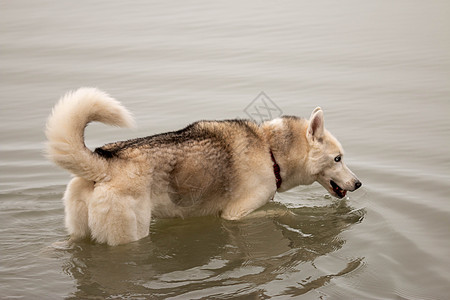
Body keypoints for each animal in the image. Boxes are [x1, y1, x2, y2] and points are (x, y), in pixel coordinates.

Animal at [45, 88, 362, 245]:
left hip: (81, 232)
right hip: (129, 236)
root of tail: (103, 161)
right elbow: (283, 210)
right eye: (338, 158)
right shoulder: (235, 215)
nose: (358, 183)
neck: (269, 150)